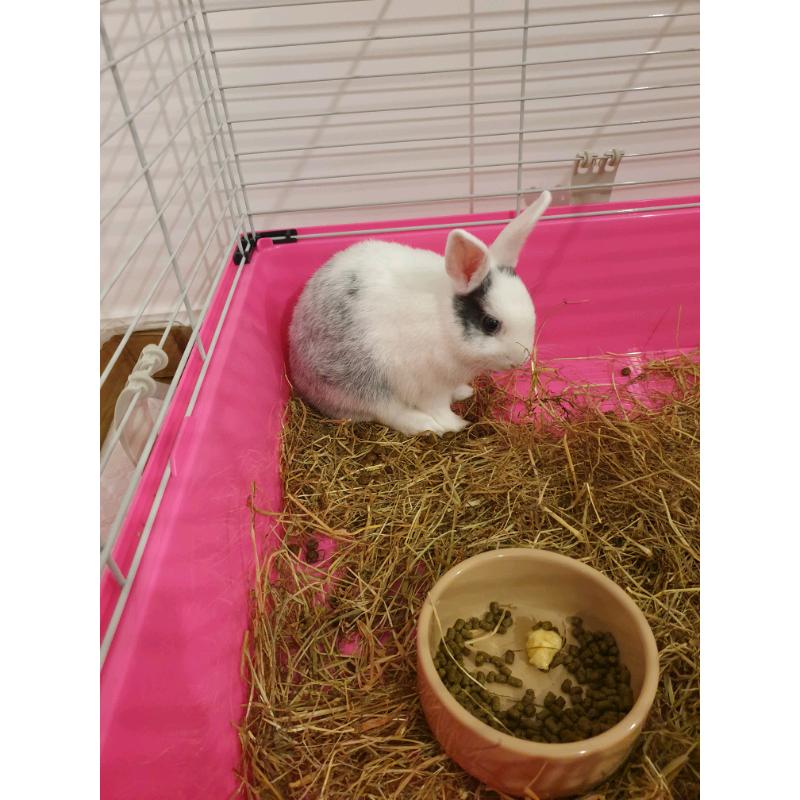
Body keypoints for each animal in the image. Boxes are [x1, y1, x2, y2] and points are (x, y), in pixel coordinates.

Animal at [288, 190, 552, 436]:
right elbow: (438, 408)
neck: (443, 321)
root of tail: (299, 373)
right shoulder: (429, 386)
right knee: (390, 412)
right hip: (365, 382)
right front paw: (455, 424)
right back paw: (427, 426)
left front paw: (464, 392)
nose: (521, 360)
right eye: (491, 323)